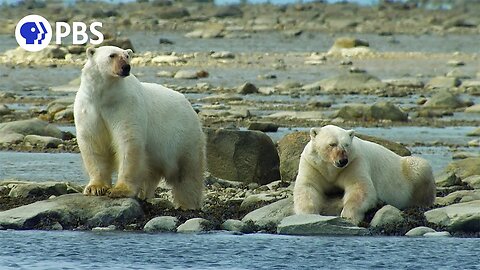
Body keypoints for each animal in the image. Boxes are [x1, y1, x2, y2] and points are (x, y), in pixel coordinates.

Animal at [74, 46, 205, 209]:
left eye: (127, 56)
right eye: (112, 55)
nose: (126, 67)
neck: (104, 96)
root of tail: (189, 106)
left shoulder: (125, 106)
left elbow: (128, 142)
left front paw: (119, 190)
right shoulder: (88, 108)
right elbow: (93, 144)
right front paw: (95, 188)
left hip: (184, 138)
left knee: (188, 172)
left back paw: (187, 204)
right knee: (151, 172)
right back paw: (144, 194)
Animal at [292, 124, 436, 224]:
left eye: (346, 145)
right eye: (332, 144)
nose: (342, 160)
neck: (332, 169)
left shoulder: (354, 162)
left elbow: (360, 188)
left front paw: (348, 216)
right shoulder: (313, 165)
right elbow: (307, 188)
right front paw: (308, 215)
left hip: (408, 169)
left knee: (420, 167)